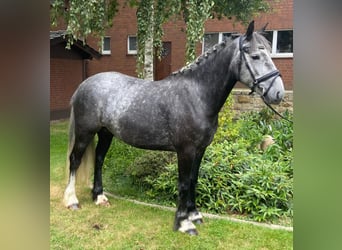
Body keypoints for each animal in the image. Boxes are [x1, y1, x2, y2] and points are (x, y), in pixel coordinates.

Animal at [63, 21, 284, 234]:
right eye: (255, 55)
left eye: (269, 52)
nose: (278, 93)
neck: (196, 96)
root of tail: (84, 85)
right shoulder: (185, 151)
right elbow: (184, 183)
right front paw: (184, 223)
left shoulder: (200, 149)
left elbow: (194, 179)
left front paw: (194, 215)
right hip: (85, 132)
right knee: (75, 160)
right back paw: (72, 200)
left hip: (106, 133)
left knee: (99, 159)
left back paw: (99, 197)